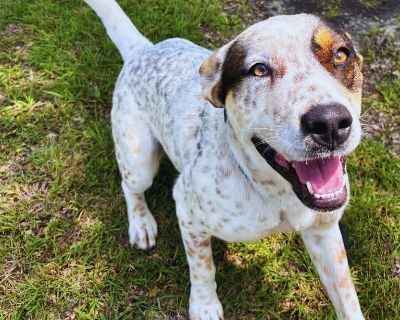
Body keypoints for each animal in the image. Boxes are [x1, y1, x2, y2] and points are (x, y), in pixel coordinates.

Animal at [84, 1, 366, 318]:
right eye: (259, 69)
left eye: (341, 54)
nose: (329, 123)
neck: (277, 193)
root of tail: (141, 49)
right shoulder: (188, 210)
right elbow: (203, 267)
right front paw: (204, 305)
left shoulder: (324, 231)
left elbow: (347, 295)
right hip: (138, 158)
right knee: (130, 186)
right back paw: (141, 222)